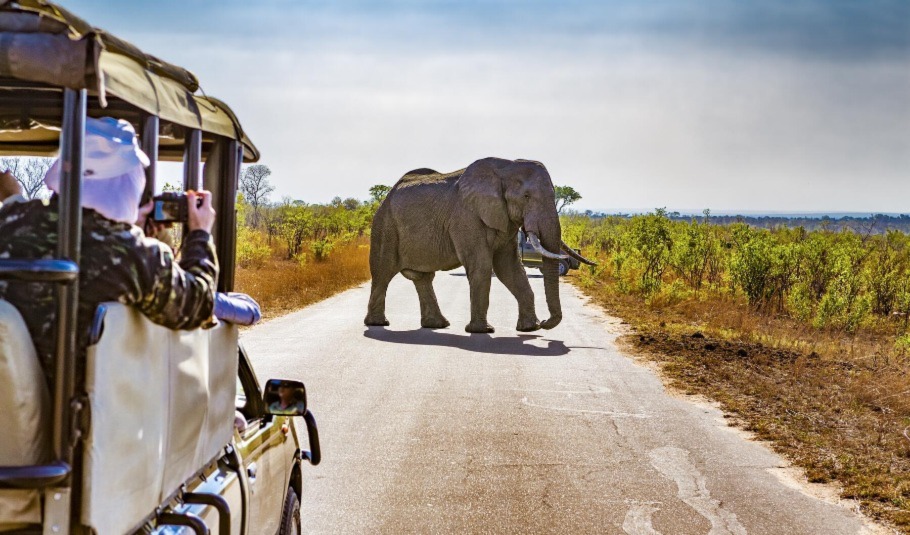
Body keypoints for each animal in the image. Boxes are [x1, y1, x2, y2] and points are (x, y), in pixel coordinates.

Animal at [364, 155, 600, 332]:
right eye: (526, 196)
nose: (545, 323)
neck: (506, 168)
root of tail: (387, 194)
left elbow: (509, 268)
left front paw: (528, 329)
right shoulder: (466, 217)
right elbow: (482, 266)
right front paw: (483, 331)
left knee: (422, 278)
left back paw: (438, 325)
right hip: (385, 226)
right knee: (383, 272)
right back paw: (378, 324)